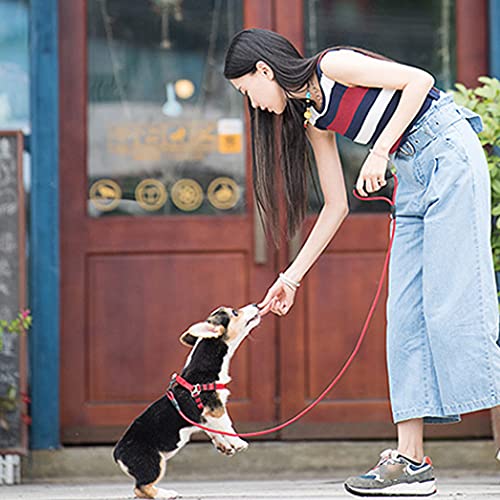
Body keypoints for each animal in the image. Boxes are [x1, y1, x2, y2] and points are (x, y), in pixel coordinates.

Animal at [112, 302, 262, 498]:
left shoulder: (206, 417)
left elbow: (214, 432)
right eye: (235, 312)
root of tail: (117, 454)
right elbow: (227, 427)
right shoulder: (216, 409)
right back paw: (166, 494)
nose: (256, 304)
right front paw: (239, 443)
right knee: (141, 487)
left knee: (139, 490)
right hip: (153, 464)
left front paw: (225, 446)